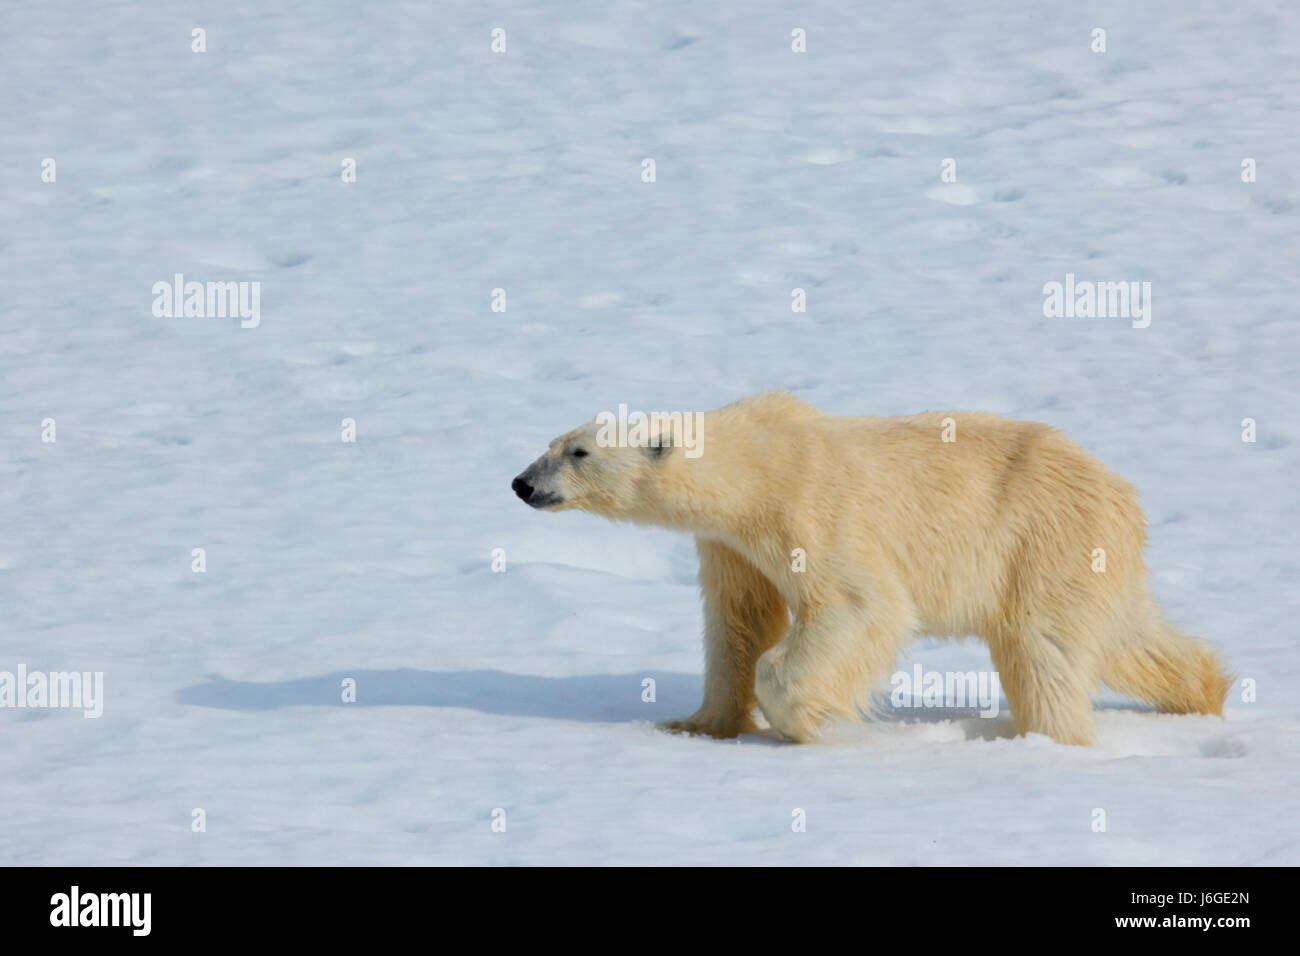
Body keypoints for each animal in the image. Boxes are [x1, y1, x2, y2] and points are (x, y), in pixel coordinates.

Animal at [512, 391, 1232, 746]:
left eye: (578, 452)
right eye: (550, 441)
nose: (522, 483)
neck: (755, 466)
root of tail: (1121, 494)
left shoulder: (810, 509)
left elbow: (859, 606)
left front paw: (804, 719)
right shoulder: (730, 545)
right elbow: (739, 621)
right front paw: (697, 724)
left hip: (1040, 541)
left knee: (1042, 647)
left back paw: (1046, 740)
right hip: (1086, 556)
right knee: (1126, 638)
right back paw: (1207, 690)